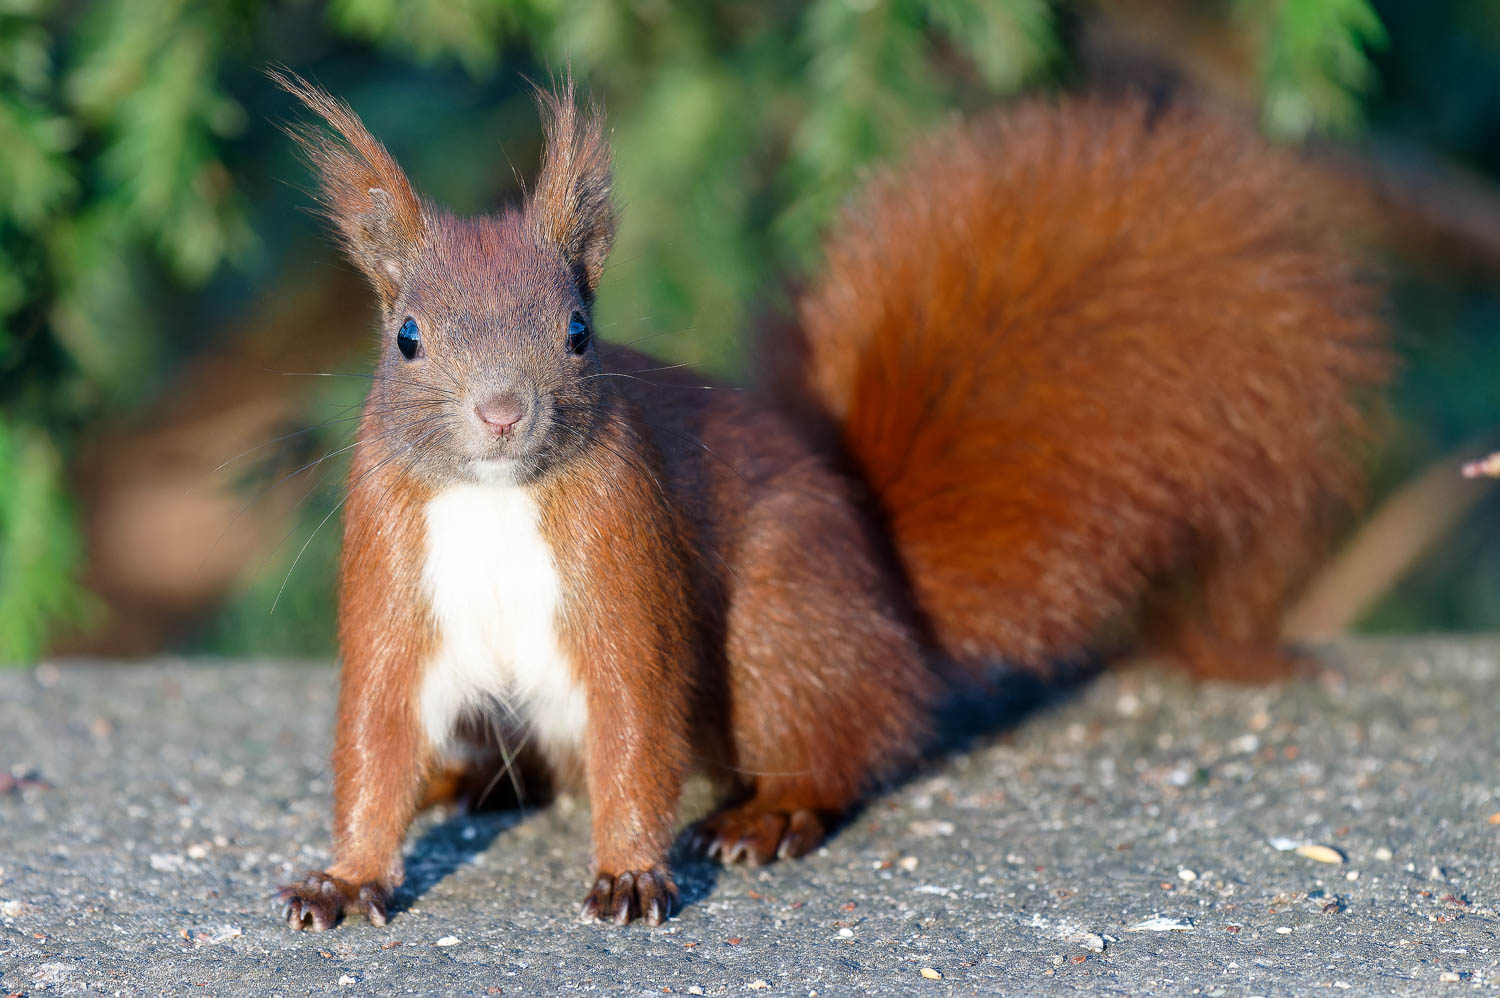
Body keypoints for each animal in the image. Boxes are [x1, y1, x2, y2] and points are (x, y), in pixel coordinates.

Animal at [270, 72, 1389, 930]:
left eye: (580, 331)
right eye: (407, 337)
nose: (504, 410)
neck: (498, 500)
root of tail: (897, 614)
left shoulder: (625, 562)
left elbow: (635, 723)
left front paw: (630, 871)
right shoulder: (393, 571)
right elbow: (375, 737)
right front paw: (347, 877)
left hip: (780, 621)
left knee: (837, 742)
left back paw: (770, 815)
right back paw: (461, 783)